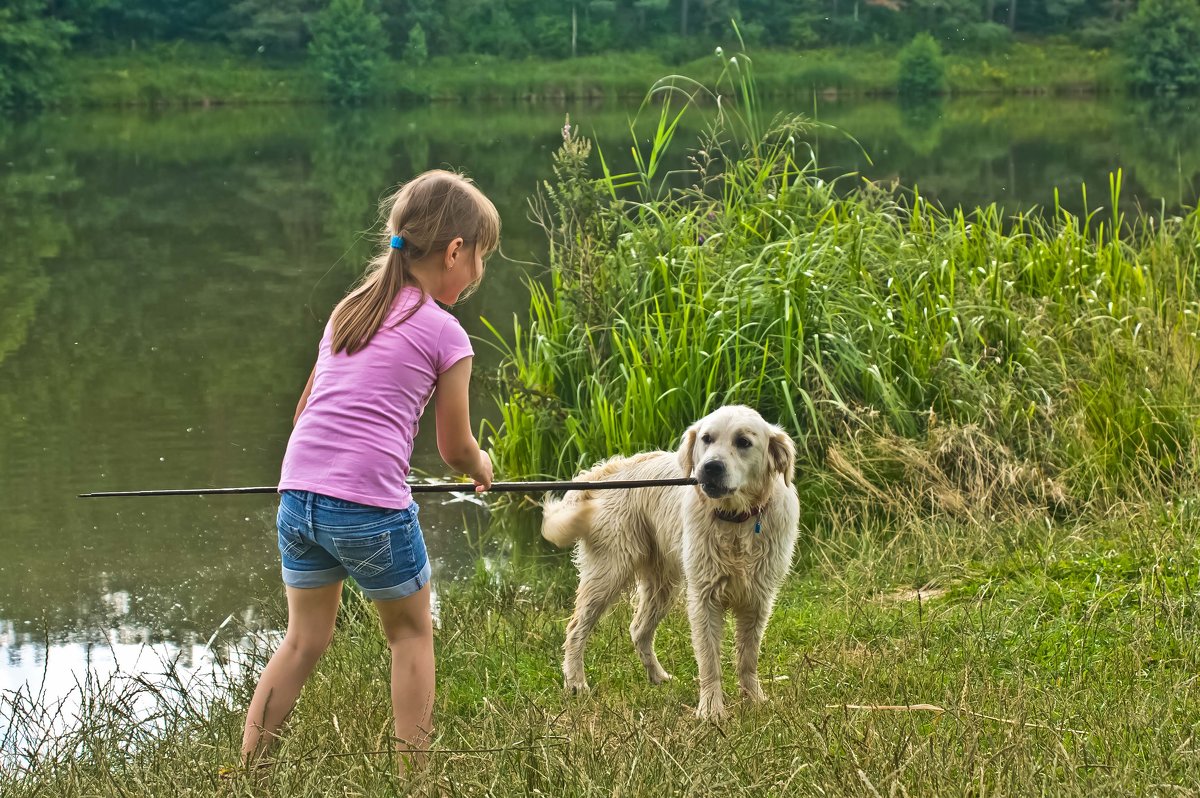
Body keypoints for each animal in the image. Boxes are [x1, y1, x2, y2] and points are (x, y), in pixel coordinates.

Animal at [542, 400, 801, 720]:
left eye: (743, 442)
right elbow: (709, 660)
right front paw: (711, 710)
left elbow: (748, 657)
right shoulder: (704, 597)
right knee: (576, 628)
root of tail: (610, 471)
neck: (735, 520)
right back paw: (576, 683)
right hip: (609, 571)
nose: (710, 467)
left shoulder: (759, 597)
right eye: (706, 438)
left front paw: (754, 699)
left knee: (638, 629)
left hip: (663, 584)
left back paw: (658, 677)